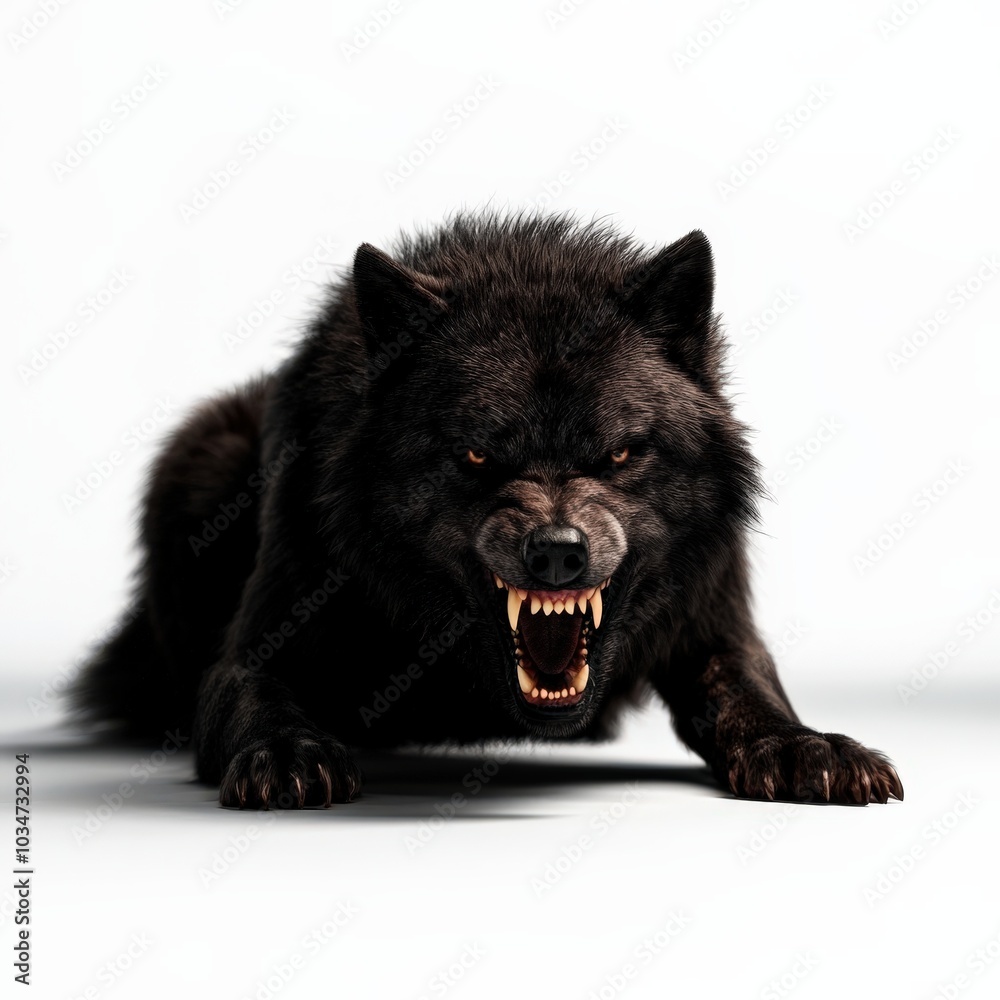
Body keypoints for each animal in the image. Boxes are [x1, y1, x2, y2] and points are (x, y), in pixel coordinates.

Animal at [70, 212, 902, 807]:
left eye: (619, 454)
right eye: (475, 456)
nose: (558, 550)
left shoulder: (714, 622)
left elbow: (751, 694)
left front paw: (807, 746)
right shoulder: (253, 650)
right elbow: (252, 695)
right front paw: (287, 752)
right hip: (202, 454)